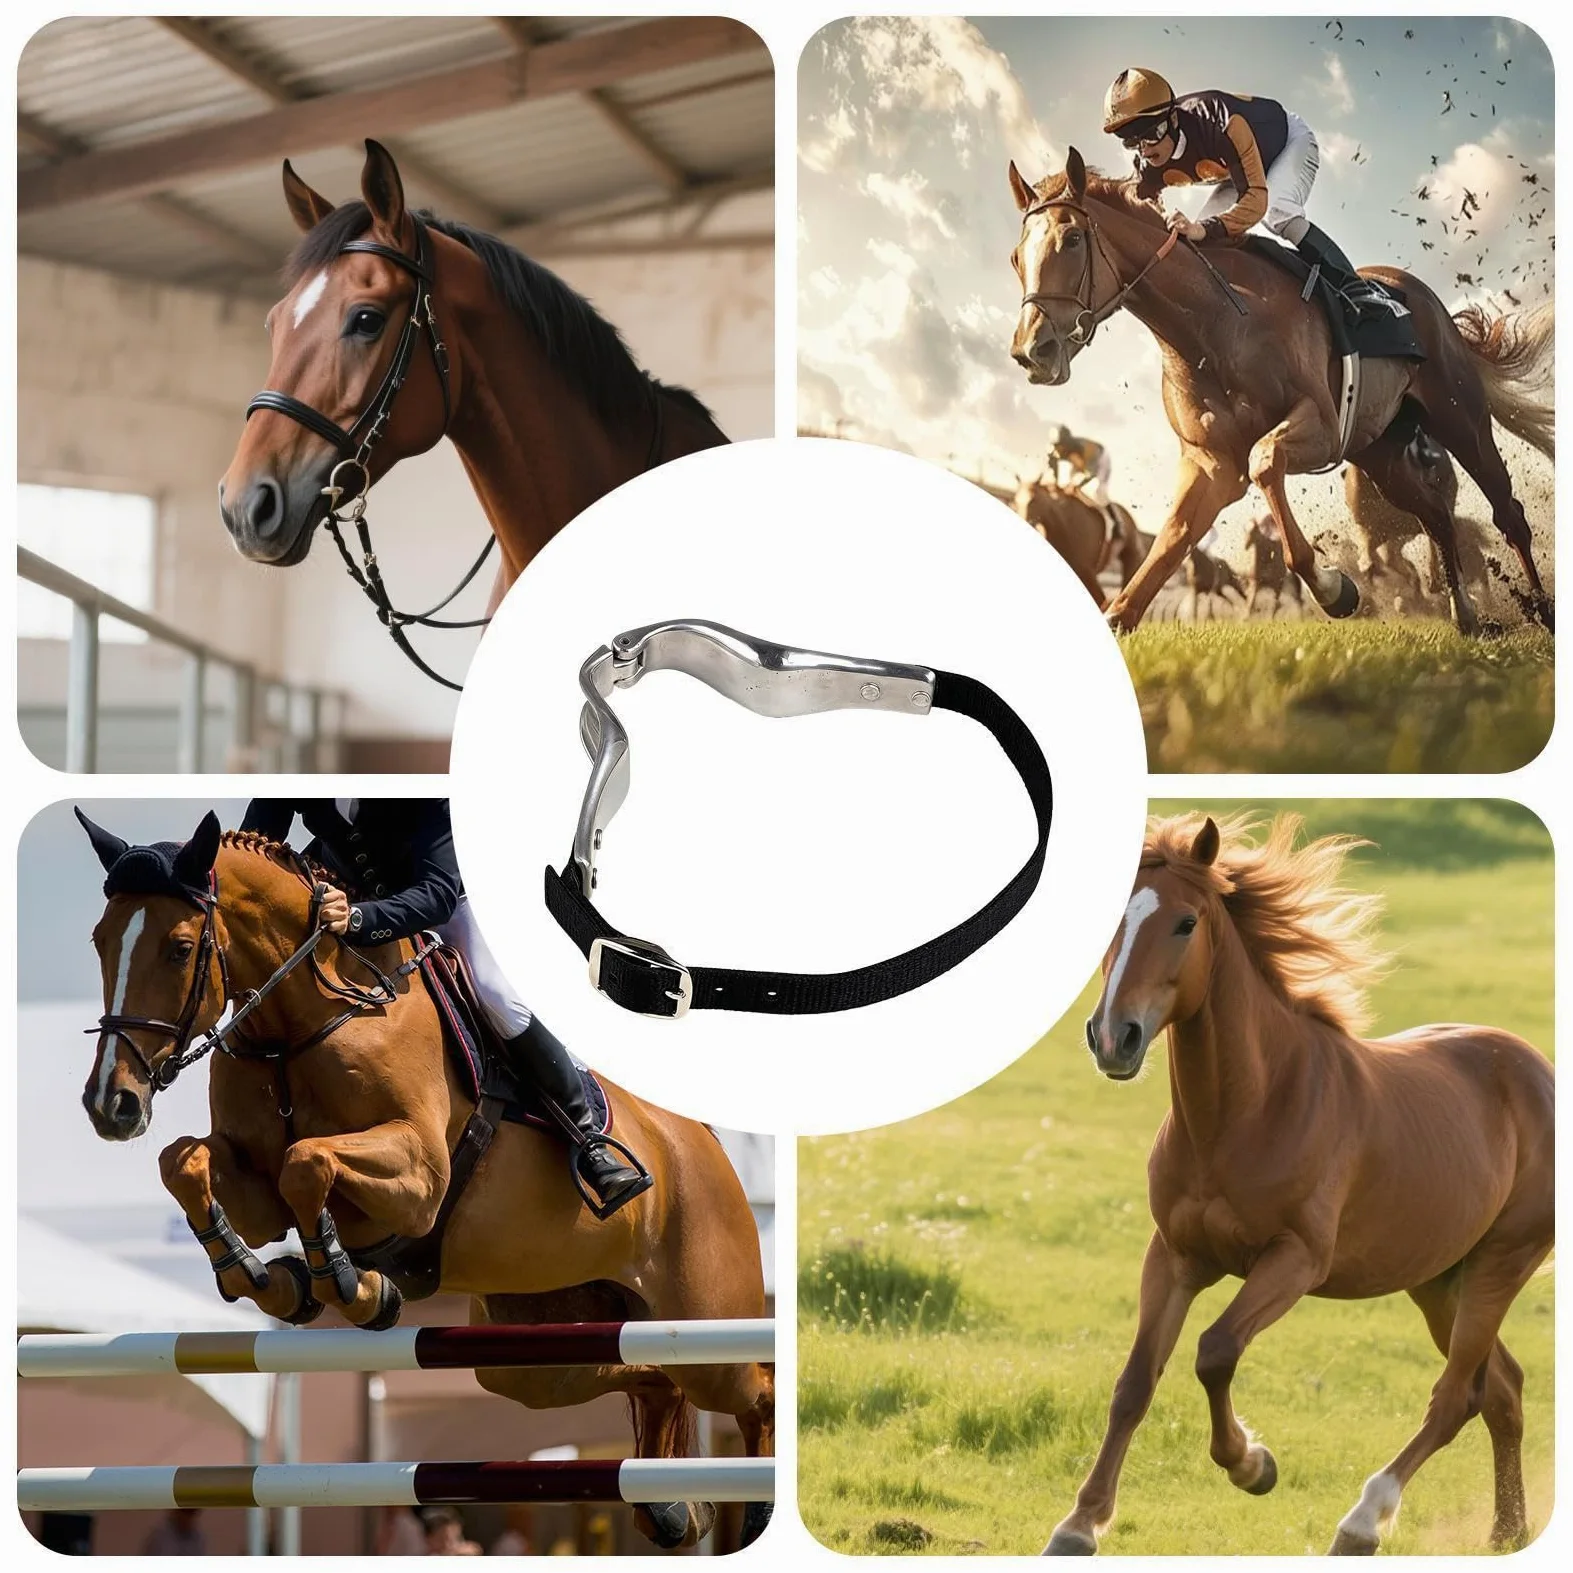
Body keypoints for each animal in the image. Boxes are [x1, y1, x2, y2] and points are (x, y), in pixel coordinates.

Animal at [76, 812, 773, 1550]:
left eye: (180, 948)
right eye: (101, 940)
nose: (111, 1103)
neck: (299, 1023)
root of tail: (702, 1142)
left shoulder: (420, 1176)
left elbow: (308, 1162)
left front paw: (350, 1283)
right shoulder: (254, 1184)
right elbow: (185, 1162)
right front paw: (267, 1277)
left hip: (708, 1330)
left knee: (755, 1389)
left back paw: (755, 1510)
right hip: (539, 1353)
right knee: (652, 1379)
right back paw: (667, 1508)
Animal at [1048, 813, 1553, 1556]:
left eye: (1185, 922)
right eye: (1113, 919)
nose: (1114, 1037)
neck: (1245, 1113)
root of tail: (1534, 1069)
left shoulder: (1293, 1260)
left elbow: (1214, 1351)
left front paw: (1253, 1465)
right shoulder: (1173, 1255)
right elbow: (1135, 1380)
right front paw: (1078, 1525)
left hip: (1499, 1263)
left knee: (1457, 1394)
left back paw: (1362, 1521)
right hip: (1438, 1278)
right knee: (1502, 1389)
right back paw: (1505, 1531)